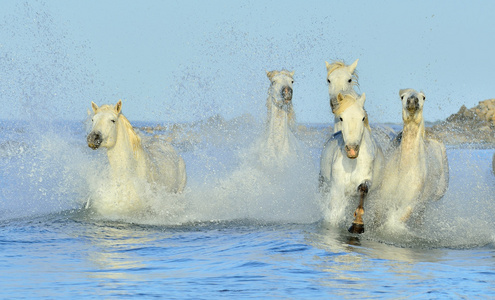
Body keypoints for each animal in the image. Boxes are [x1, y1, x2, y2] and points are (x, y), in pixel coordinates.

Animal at [320, 92, 386, 233]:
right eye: (341, 118)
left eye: (362, 118)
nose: (352, 150)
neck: (352, 164)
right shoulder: (337, 187)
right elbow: (335, 211)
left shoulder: (365, 180)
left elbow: (363, 189)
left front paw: (357, 224)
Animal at [380, 89, 450, 225]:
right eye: (402, 96)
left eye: (423, 97)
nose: (412, 100)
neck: (404, 168)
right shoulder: (383, 196)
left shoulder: (410, 202)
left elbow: (395, 221)